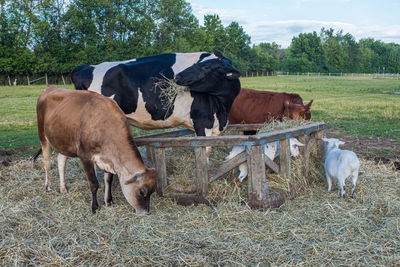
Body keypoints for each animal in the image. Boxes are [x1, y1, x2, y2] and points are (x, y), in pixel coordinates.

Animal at [35, 87, 156, 217]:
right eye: (142, 192)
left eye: (152, 192)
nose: (146, 212)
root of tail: (49, 88)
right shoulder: (85, 156)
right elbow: (94, 183)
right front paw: (95, 207)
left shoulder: (109, 160)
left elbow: (108, 180)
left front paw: (108, 201)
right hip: (42, 135)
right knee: (47, 163)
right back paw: (47, 187)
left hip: (63, 140)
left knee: (61, 161)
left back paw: (63, 189)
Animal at [70, 50, 241, 138]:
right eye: (197, 63)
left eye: (206, 67)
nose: (176, 76)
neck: (222, 107)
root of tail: (86, 67)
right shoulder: (202, 123)